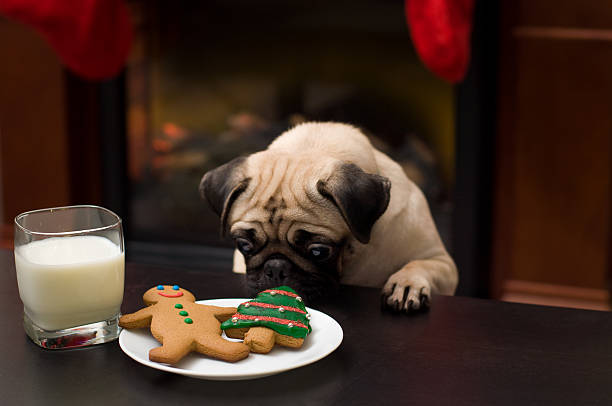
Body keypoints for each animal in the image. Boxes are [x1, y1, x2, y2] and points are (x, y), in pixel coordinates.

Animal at [198, 122, 456, 312]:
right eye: (244, 245)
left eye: (319, 251)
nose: (275, 268)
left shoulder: (442, 263)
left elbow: (419, 264)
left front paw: (406, 284)